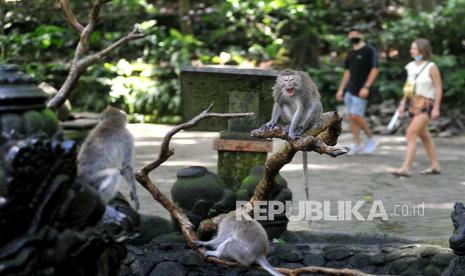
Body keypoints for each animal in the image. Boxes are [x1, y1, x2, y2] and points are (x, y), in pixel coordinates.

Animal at [260, 68, 322, 206]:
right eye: (285, 80)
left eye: (292, 79)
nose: (289, 84)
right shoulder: (279, 89)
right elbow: (279, 103)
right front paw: (272, 122)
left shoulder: (302, 90)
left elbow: (301, 108)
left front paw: (293, 131)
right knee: (284, 104)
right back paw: (288, 126)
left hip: (311, 120)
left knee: (314, 104)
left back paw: (300, 128)